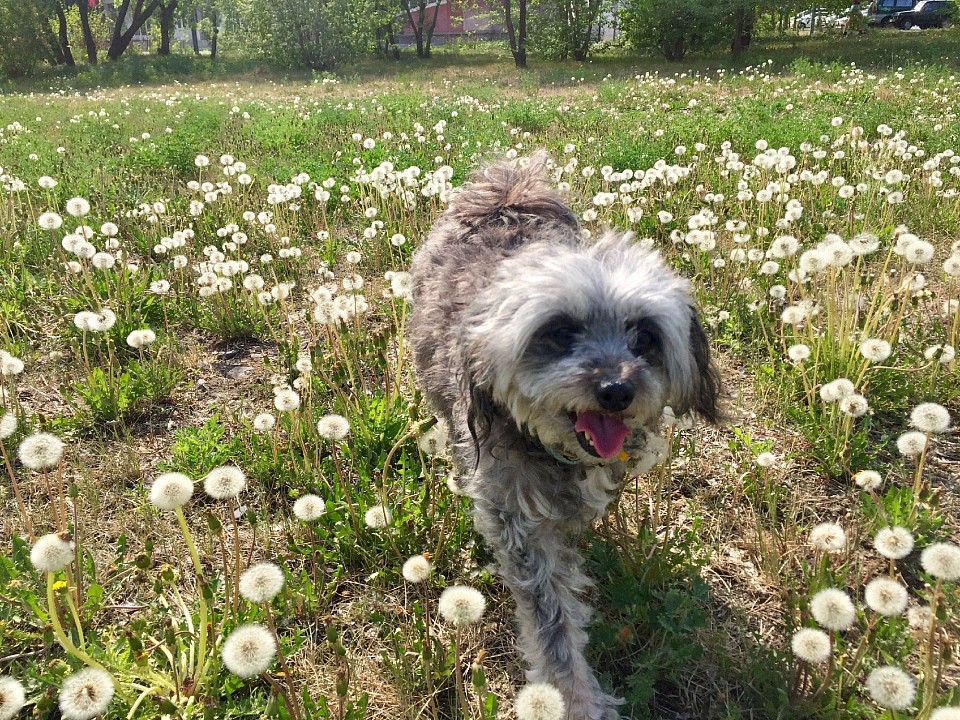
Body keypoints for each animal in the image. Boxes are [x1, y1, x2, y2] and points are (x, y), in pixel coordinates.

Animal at [404, 152, 720, 720]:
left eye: (644, 335)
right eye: (559, 331)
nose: (617, 390)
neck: (556, 452)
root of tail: (507, 194)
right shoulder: (519, 523)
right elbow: (553, 622)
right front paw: (572, 699)